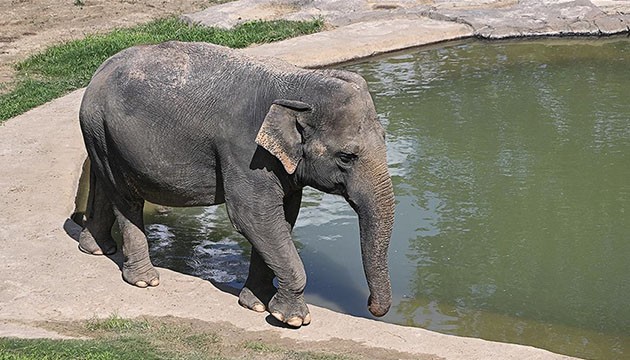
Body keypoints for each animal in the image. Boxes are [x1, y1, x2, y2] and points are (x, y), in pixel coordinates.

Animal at [78, 40, 396, 328]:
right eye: (346, 157)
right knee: (125, 196)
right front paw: (292, 319)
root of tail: (97, 73)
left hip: (99, 135)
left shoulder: (277, 163)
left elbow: (282, 216)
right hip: (105, 132)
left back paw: (96, 249)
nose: (371, 306)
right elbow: (253, 217)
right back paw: (144, 280)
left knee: (103, 182)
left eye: (384, 138)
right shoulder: (245, 152)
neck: (299, 81)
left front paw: (256, 304)